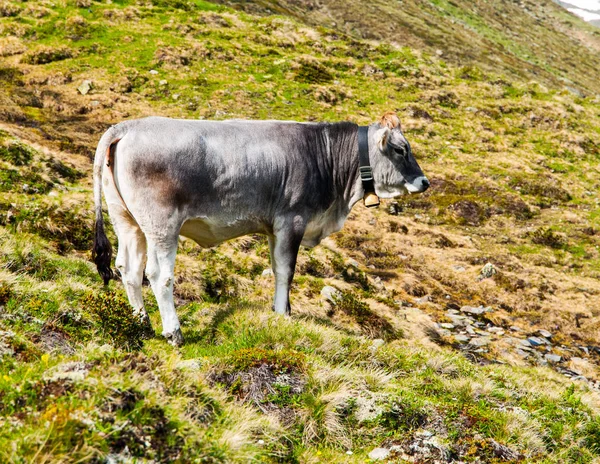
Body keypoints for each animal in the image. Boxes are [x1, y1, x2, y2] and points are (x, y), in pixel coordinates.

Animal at [92, 111, 426, 344]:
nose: (425, 182)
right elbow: (286, 271)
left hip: (127, 220)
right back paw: (173, 332)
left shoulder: (273, 228)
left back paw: (142, 324)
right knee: (159, 275)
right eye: (400, 149)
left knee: (128, 269)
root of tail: (128, 127)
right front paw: (283, 313)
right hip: (161, 225)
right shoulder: (292, 220)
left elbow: (278, 268)